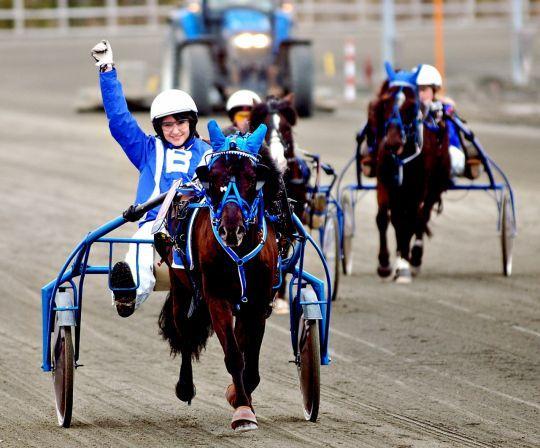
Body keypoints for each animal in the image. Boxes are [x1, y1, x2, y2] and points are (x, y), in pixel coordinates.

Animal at [156, 120, 280, 430]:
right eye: (213, 177)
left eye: (251, 178)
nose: (230, 229)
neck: (239, 250)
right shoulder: (216, 298)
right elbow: (234, 356)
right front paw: (244, 412)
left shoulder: (257, 302)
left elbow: (250, 360)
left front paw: (239, 396)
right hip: (181, 288)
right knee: (185, 334)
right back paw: (185, 387)